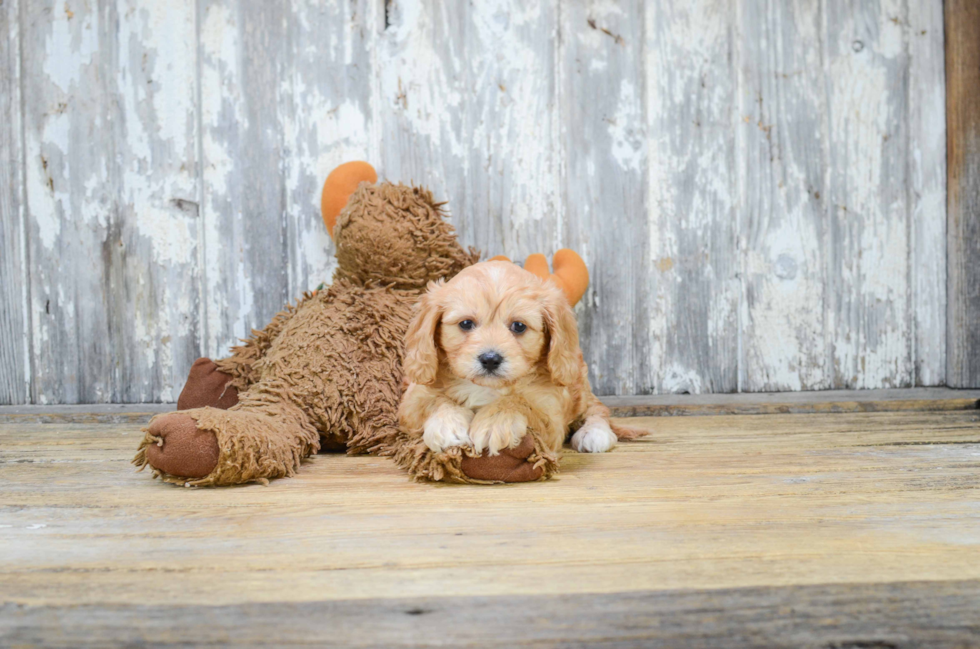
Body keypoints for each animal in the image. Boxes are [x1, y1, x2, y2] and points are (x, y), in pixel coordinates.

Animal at [396, 258, 628, 456]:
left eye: (519, 326)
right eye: (466, 323)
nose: (490, 359)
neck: (487, 388)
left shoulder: (551, 414)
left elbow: (518, 401)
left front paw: (494, 423)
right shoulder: (411, 401)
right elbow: (436, 400)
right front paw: (447, 425)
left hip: (578, 384)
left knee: (596, 409)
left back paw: (594, 433)